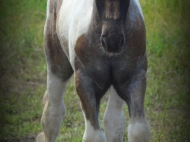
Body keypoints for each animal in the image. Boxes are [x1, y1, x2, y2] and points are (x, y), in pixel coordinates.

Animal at [36, 0, 150, 141]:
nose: (112, 41)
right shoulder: (85, 82)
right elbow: (93, 136)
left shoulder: (134, 78)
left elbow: (139, 130)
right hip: (57, 65)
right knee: (52, 111)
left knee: (113, 119)